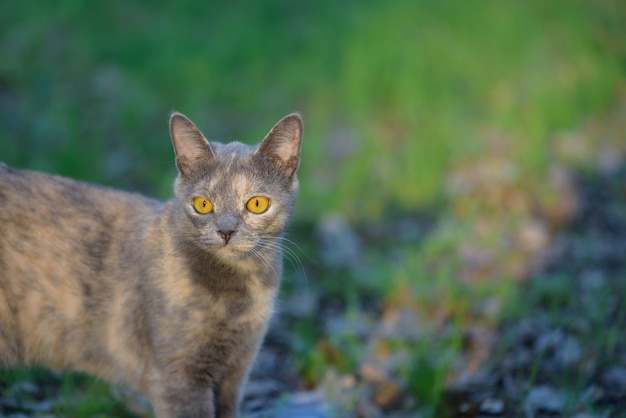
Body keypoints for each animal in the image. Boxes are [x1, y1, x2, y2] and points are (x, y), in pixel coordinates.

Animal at [0, 112, 302, 418]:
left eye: (256, 204)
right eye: (203, 204)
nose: (226, 231)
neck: (239, 295)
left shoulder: (236, 370)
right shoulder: (178, 376)